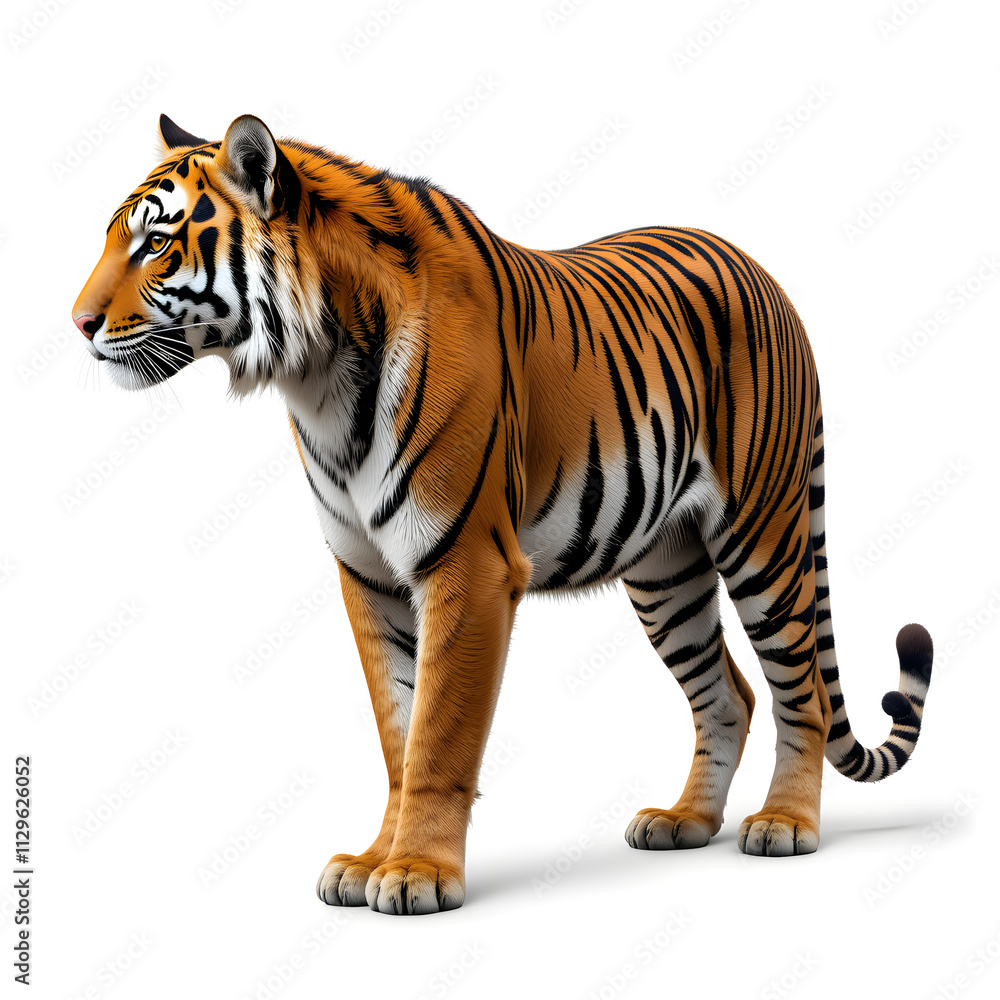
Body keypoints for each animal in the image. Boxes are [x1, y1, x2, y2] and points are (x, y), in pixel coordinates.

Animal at [73, 113, 934, 915]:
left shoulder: (467, 564)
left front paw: (417, 874)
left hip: (764, 534)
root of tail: (762, 271)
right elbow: (397, 728)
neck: (316, 373)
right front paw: (372, 860)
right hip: (666, 569)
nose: (77, 325)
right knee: (730, 694)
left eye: (155, 244)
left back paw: (786, 824)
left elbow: (439, 735)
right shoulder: (367, 573)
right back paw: (685, 820)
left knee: (802, 691)